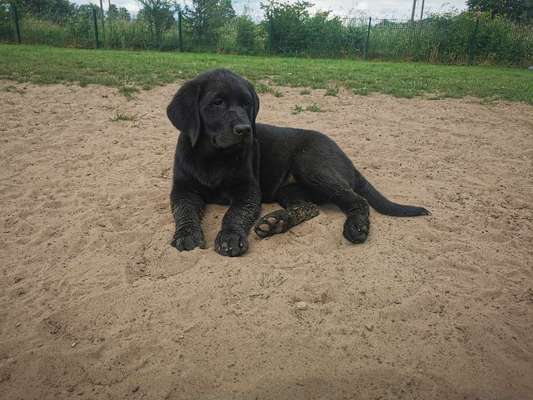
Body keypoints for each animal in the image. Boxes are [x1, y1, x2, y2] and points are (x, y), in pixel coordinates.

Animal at [167, 69, 428, 256]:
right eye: (217, 103)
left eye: (246, 104)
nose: (245, 129)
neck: (214, 157)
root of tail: (347, 159)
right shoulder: (182, 189)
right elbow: (184, 211)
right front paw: (187, 235)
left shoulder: (248, 191)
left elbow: (234, 214)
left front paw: (230, 237)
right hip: (289, 189)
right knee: (309, 207)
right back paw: (276, 222)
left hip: (311, 165)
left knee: (357, 200)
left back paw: (356, 228)